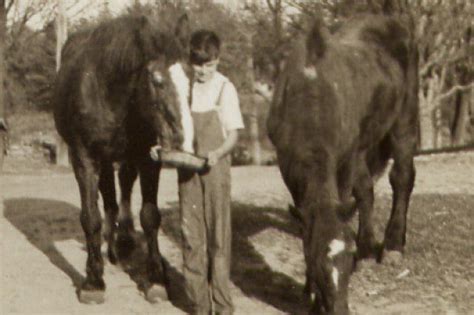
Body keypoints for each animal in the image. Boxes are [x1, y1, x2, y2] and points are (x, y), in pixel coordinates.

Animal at [53, 13, 191, 304]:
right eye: (156, 80)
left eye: (192, 79)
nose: (181, 139)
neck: (107, 93)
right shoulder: (84, 159)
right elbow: (90, 217)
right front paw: (93, 281)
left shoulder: (149, 158)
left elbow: (150, 216)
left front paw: (156, 278)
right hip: (103, 159)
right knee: (109, 196)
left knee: (125, 183)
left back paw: (125, 238)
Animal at [266, 1, 418, 314]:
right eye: (317, 263)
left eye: (350, 261)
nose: (338, 308)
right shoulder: (287, 163)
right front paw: (309, 290)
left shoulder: (346, 156)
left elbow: (349, 193)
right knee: (367, 190)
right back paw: (370, 242)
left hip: (404, 119)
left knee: (402, 177)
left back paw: (393, 245)